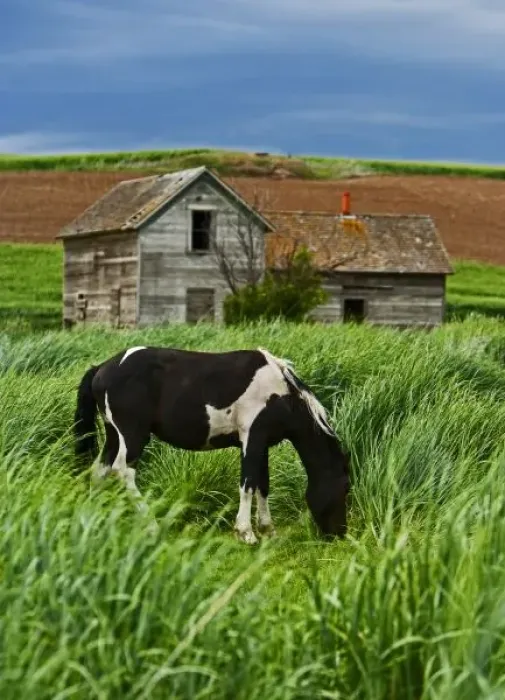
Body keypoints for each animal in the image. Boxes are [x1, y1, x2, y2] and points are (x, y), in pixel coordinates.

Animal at [73, 345, 350, 543]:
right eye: (346, 488)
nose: (339, 534)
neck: (281, 395)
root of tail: (102, 368)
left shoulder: (261, 444)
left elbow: (263, 485)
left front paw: (268, 530)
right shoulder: (251, 438)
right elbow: (248, 484)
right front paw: (246, 533)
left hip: (113, 434)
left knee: (100, 470)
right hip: (132, 435)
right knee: (122, 471)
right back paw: (151, 525)